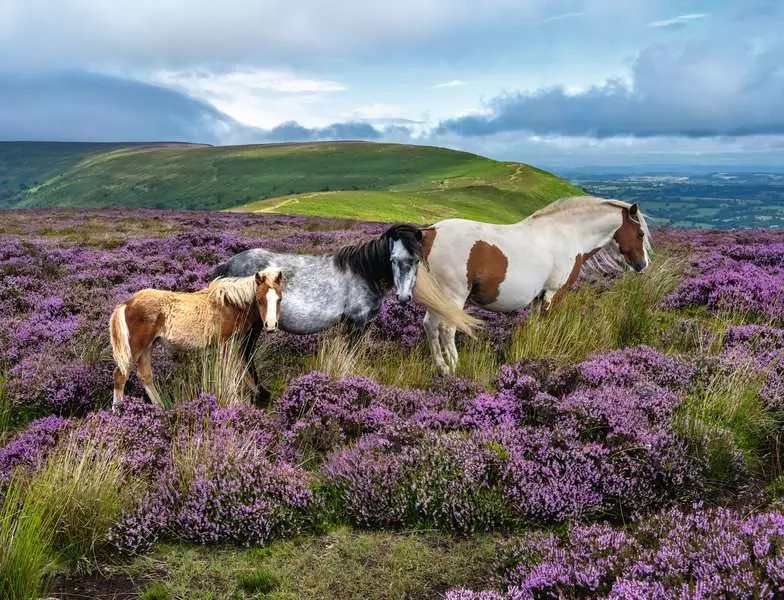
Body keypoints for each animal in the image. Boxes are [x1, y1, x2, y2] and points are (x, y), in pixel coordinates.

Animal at [109, 268, 284, 409]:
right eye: (259, 299)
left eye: (279, 299)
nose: (270, 325)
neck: (230, 304)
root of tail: (126, 303)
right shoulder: (226, 344)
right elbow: (229, 373)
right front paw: (234, 402)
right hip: (135, 348)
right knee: (120, 376)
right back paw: (118, 411)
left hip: (147, 347)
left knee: (145, 376)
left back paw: (160, 408)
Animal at [210, 223, 481, 378]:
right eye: (392, 259)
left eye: (415, 259)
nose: (403, 297)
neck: (364, 272)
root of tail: (227, 265)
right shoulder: (356, 323)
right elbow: (350, 356)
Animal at [417, 196, 652, 374]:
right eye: (640, 233)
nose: (642, 265)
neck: (568, 234)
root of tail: (431, 232)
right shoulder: (554, 293)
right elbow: (548, 324)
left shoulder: (540, 296)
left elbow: (536, 326)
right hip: (453, 297)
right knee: (447, 329)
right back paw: (454, 368)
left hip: (438, 299)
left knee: (430, 326)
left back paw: (442, 369)